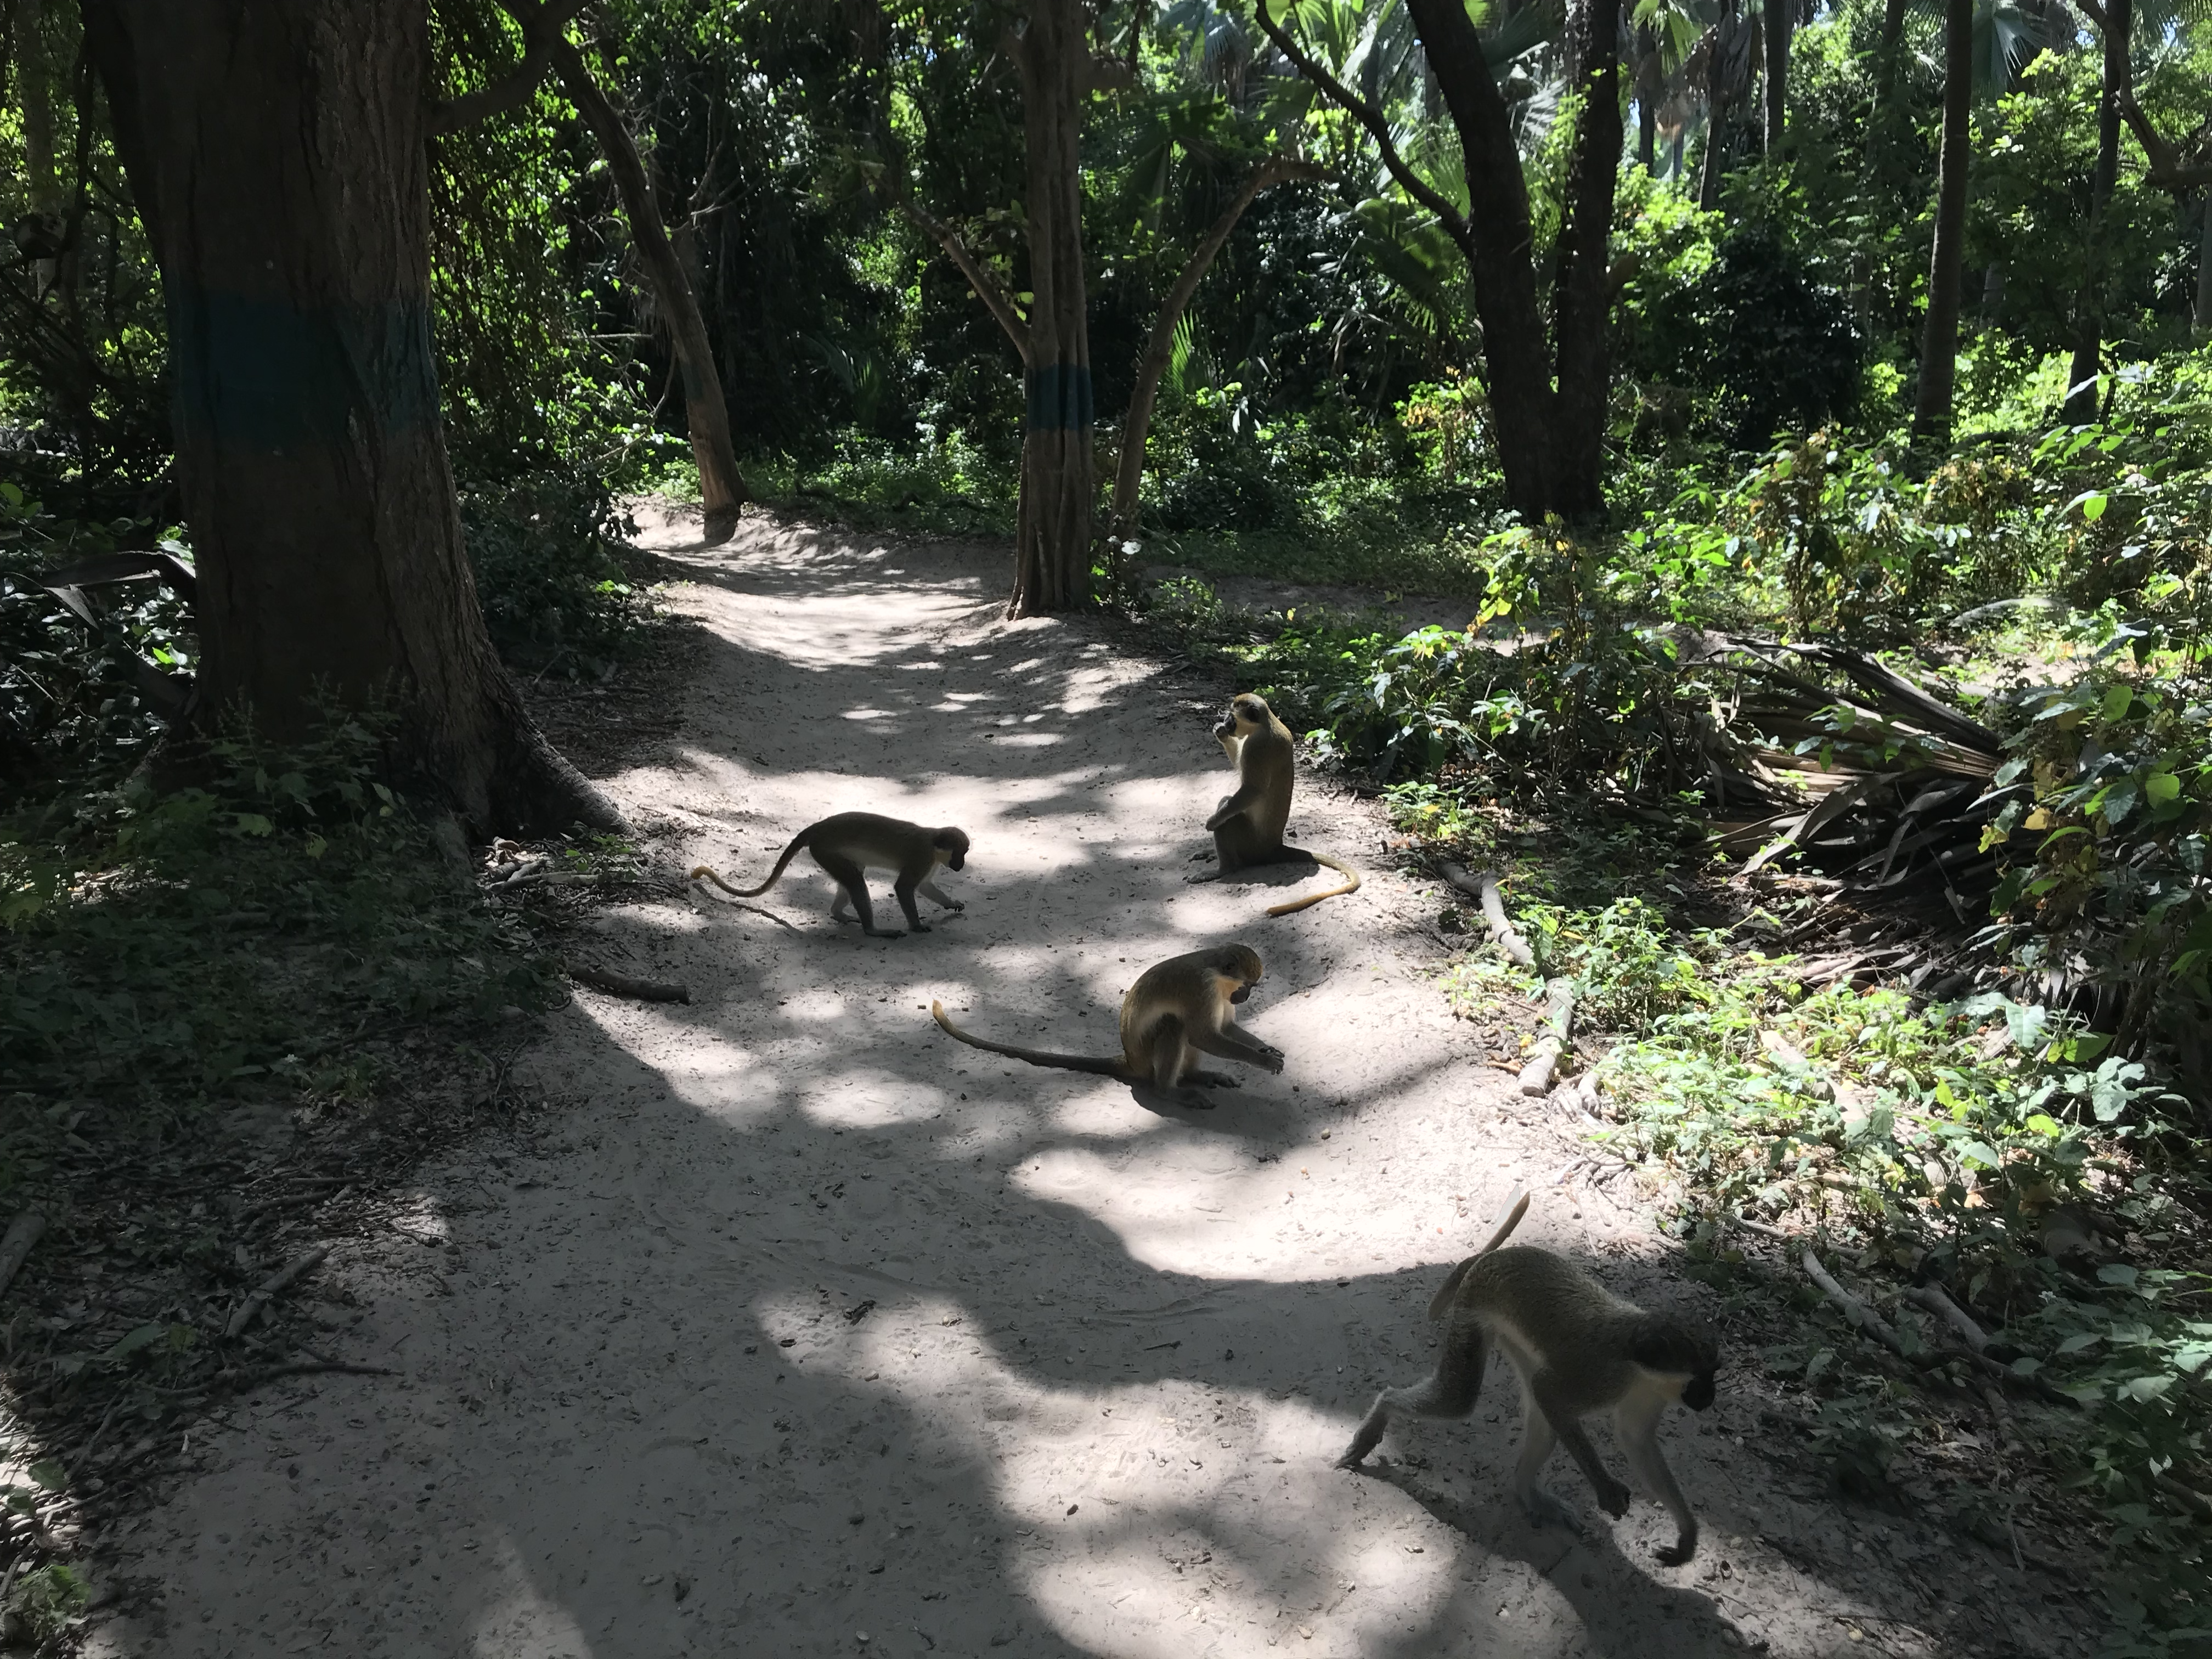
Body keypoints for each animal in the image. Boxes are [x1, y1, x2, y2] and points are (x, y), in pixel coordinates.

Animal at [690, 812, 968, 939]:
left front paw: (951, 903)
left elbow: (925, 887)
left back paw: (839, 914)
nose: (961, 865)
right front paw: (917, 925)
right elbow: (904, 887)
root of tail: (818, 828)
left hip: (827, 853)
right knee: (856, 880)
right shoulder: (922, 857)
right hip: (823, 850)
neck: (933, 842)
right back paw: (872, 931)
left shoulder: (930, 863)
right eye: (960, 853)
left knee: (854, 877)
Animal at [929, 943, 1284, 1108]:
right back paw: (1169, 1091)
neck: (1217, 974)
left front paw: (1265, 1049)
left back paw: (1195, 1076)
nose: (1245, 997)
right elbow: (1203, 1035)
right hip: (1147, 1057)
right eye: (1247, 986)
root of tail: (1130, 1060)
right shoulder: (1202, 989)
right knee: (1175, 1024)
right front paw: (1264, 1061)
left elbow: (1224, 1030)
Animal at [1189, 693, 1361, 917]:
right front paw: (1220, 733)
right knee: (1226, 802)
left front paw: (1211, 823)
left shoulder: (1256, 747)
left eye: (1232, 718)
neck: (1265, 723)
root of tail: (1274, 846)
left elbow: (1253, 789)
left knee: (1229, 818)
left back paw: (1223, 869)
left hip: (1251, 845)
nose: (1226, 722)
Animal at [1338, 1229, 1719, 1566]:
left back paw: (1526, 1493)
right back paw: (1382, 1412)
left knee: (1543, 1424)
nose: (1710, 1398)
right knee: (1459, 1399)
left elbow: (1634, 1439)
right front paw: (1605, 1489)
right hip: (1472, 1310)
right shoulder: (1602, 1377)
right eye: (1701, 1379)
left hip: (1512, 1338)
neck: (1638, 1362)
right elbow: (1549, 1391)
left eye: (1714, 1374)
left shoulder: (1649, 1394)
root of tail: (1492, 1257)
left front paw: (1687, 1538)